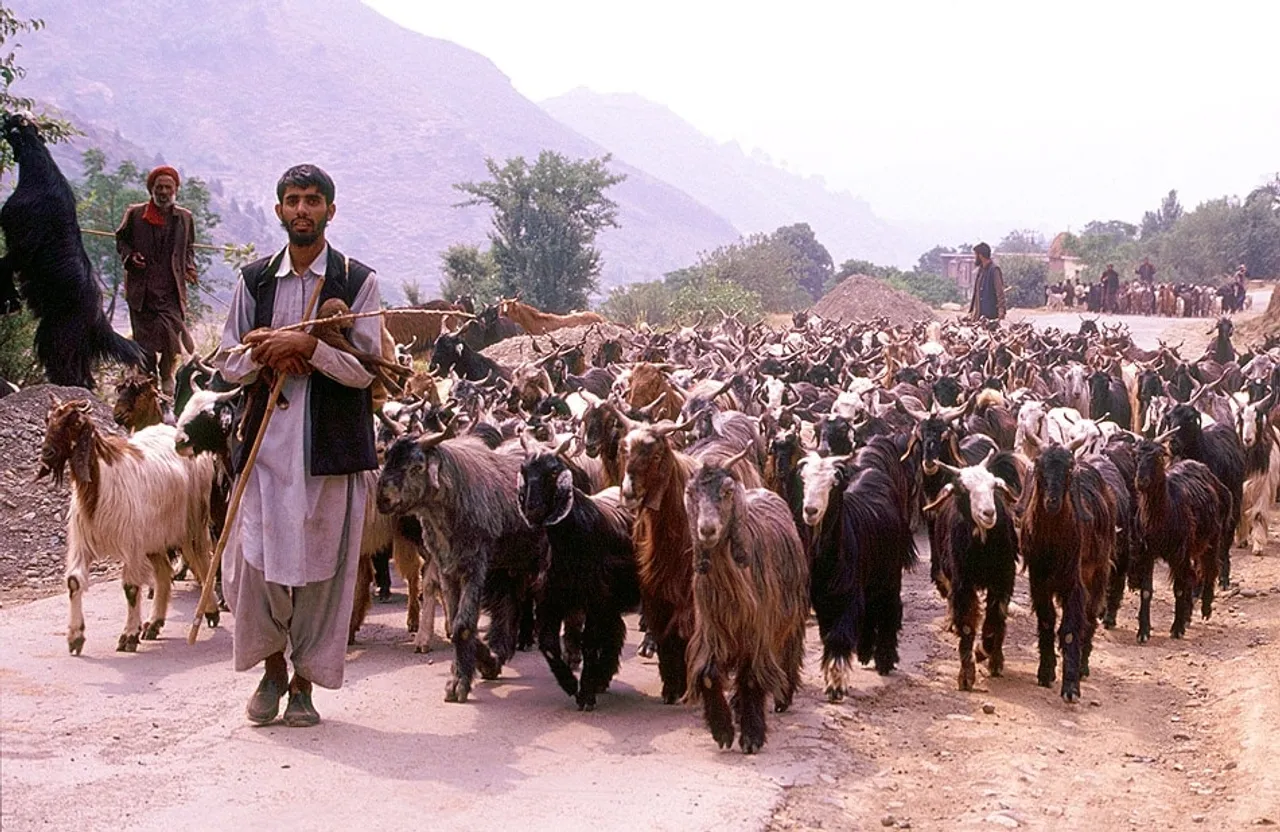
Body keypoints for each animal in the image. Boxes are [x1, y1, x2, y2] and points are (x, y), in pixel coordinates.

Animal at [0, 113, 147, 386]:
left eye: (15, 120)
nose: (5, 116)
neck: (37, 174)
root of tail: (98, 318)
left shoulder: (21, 247)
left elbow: (3, 265)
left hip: (57, 335)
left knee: (68, 371)